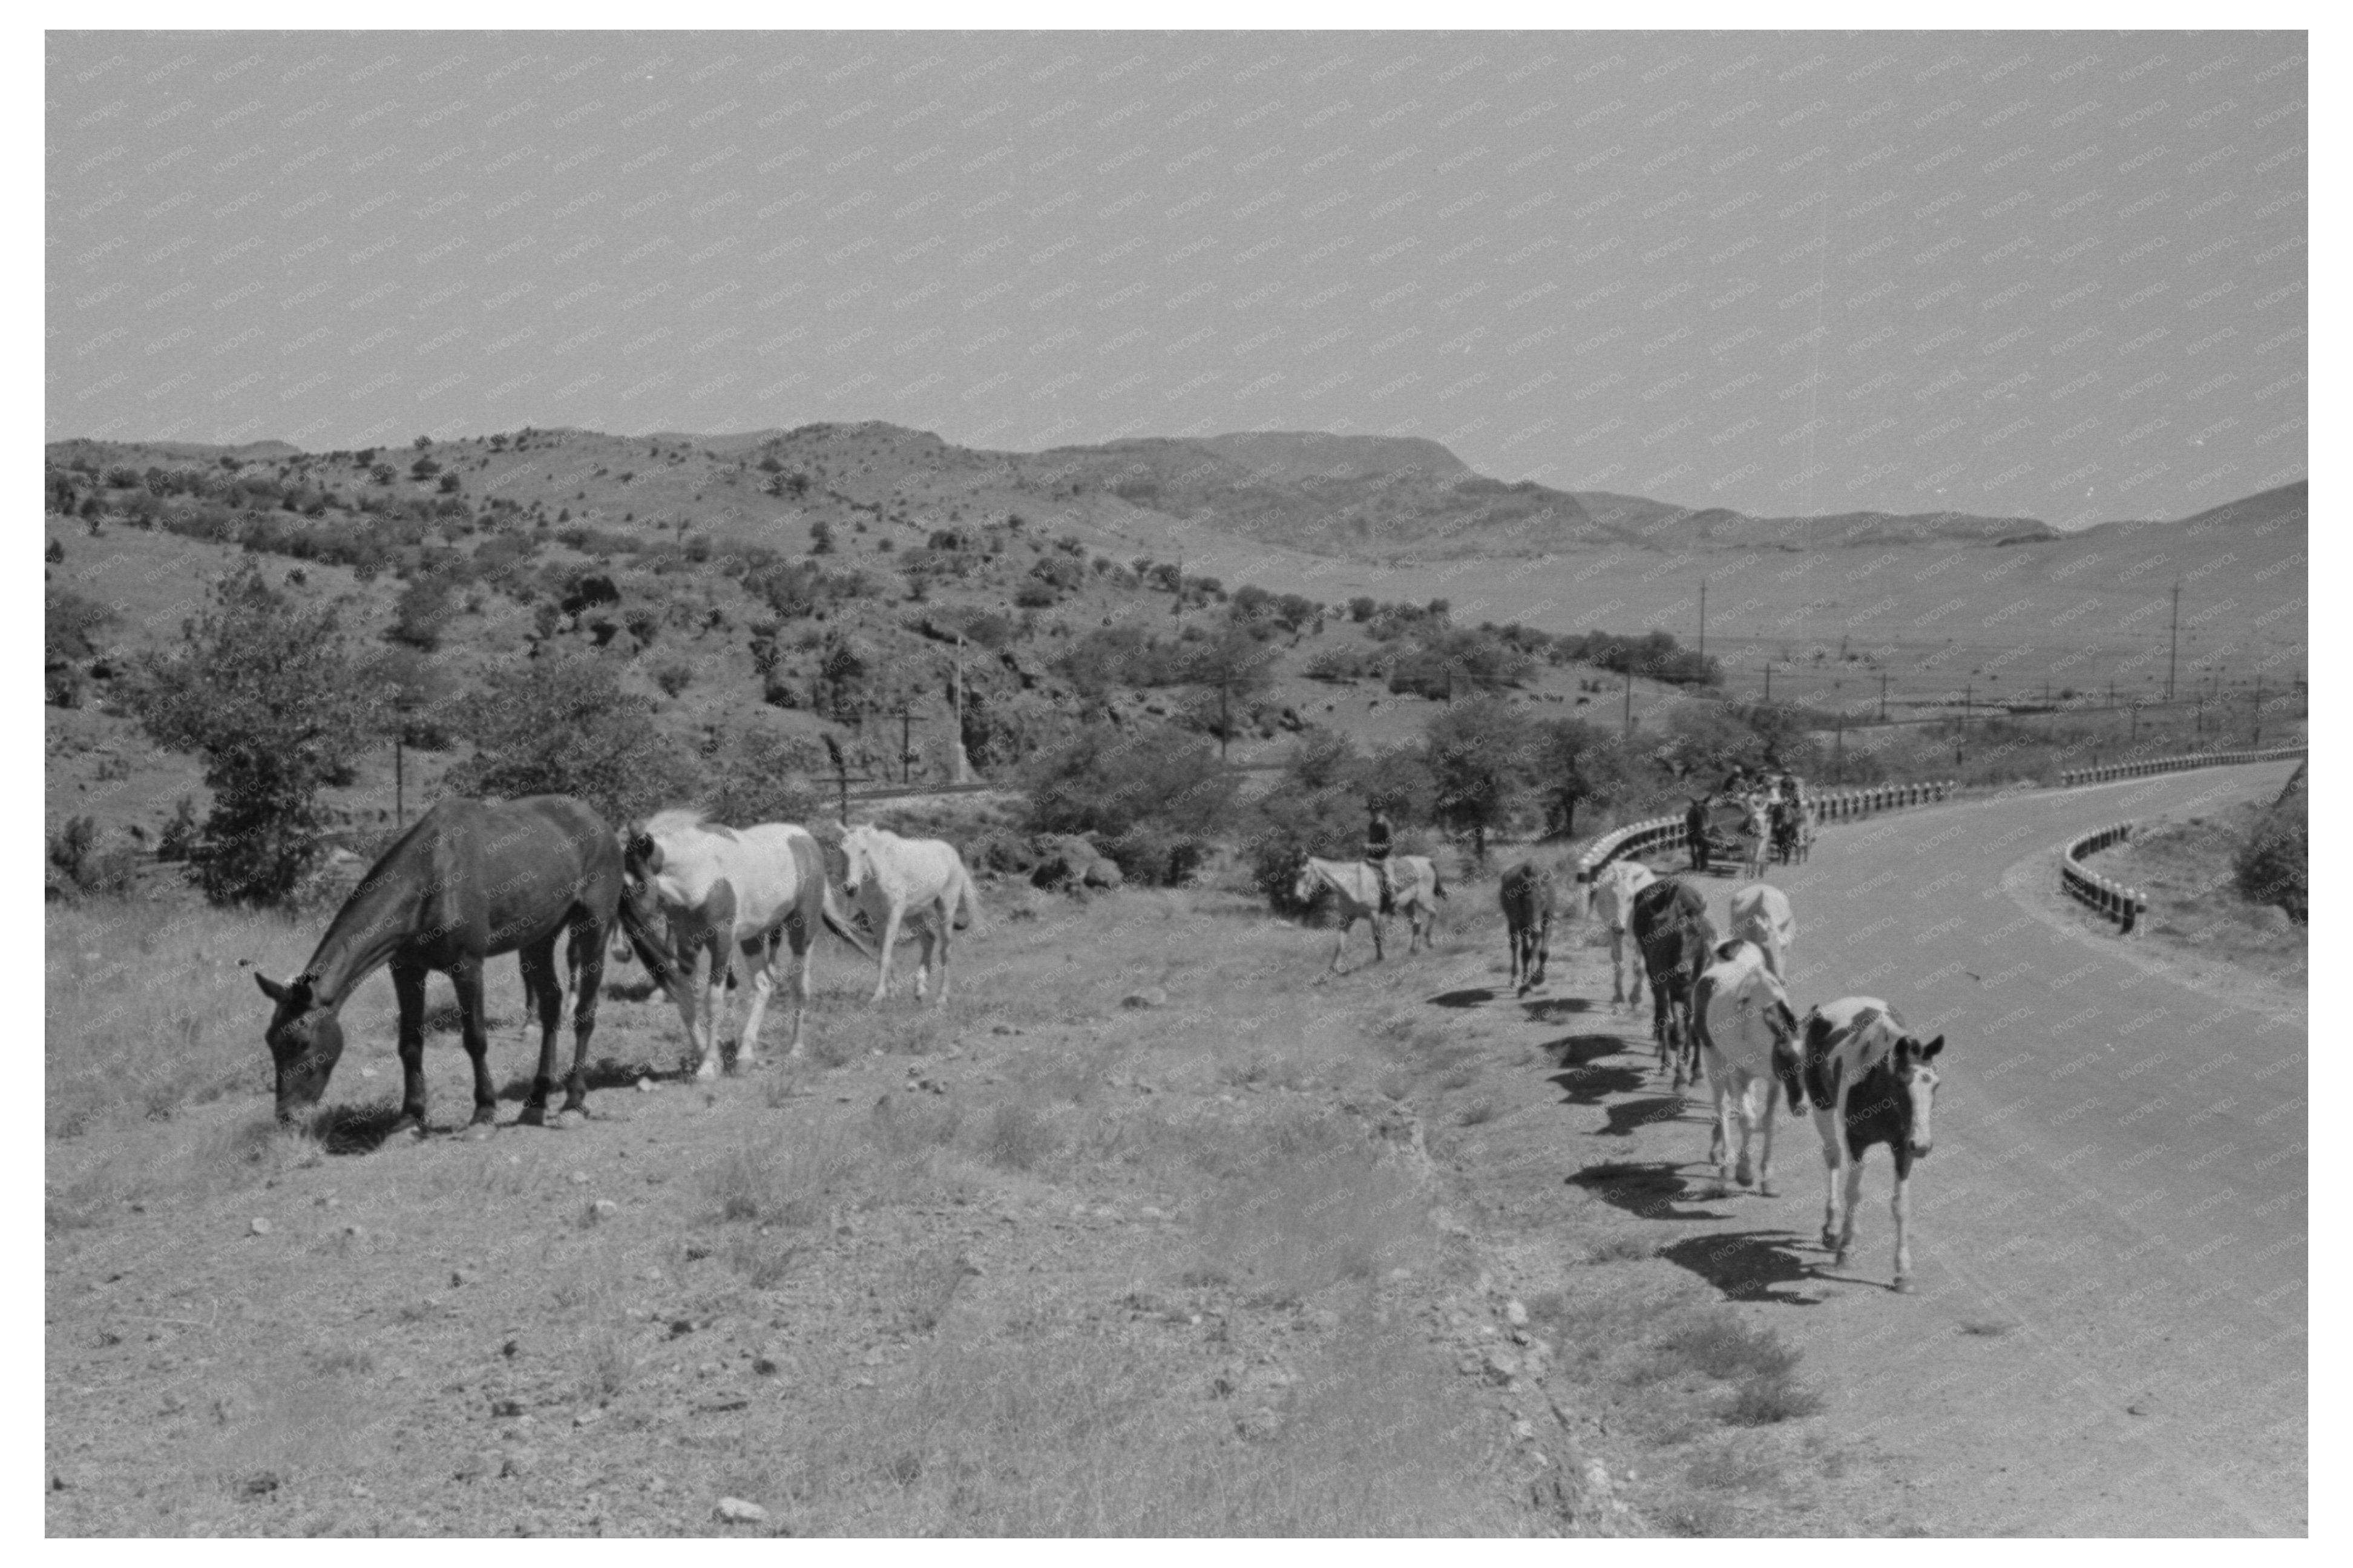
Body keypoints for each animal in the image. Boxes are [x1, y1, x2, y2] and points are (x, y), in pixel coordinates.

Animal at [258, 795, 682, 1135]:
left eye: (301, 1042)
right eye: (271, 1041)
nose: (286, 1116)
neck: (432, 876)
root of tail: (602, 826)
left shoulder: (467, 967)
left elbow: (475, 1039)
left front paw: (483, 1113)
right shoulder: (406, 971)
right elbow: (409, 1043)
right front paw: (410, 1118)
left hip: (591, 928)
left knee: (584, 1014)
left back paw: (573, 1103)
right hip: (539, 939)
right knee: (550, 1007)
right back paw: (536, 1101)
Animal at [842, 819, 979, 1003]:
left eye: (864, 850)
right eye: (843, 851)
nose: (851, 889)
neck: (881, 869)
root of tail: (955, 857)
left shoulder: (894, 914)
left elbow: (886, 953)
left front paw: (878, 995)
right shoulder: (875, 917)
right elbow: (883, 954)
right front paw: (891, 992)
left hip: (946, 908)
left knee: (946, 950)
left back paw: (941, 999)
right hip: (914, 915)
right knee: (929, 939)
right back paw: (920, 990)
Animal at [1299, 847, 1440, 969]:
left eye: (1304, 872)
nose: (1299, 896)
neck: (1353, 884)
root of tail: (1427, 861)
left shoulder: (1374, 915)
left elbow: (1377, 937)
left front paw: (1381, 958)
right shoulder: (1347, 918)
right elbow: (1340, 944)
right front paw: (1333, 968)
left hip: (1423, 901)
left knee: (1434, 913)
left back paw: (1430, 942)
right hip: (1409, 905)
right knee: (1417, 923)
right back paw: (1414, 950)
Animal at [1581, 857, 1656, 1003]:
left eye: (1631, 897)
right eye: (1612, 896)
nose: (1620, 928)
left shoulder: (1642, 935)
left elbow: (1639, 967)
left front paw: (1636, 997)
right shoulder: (1613, 930)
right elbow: (1619, 963)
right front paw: (1619, 995)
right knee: (1615, 956)